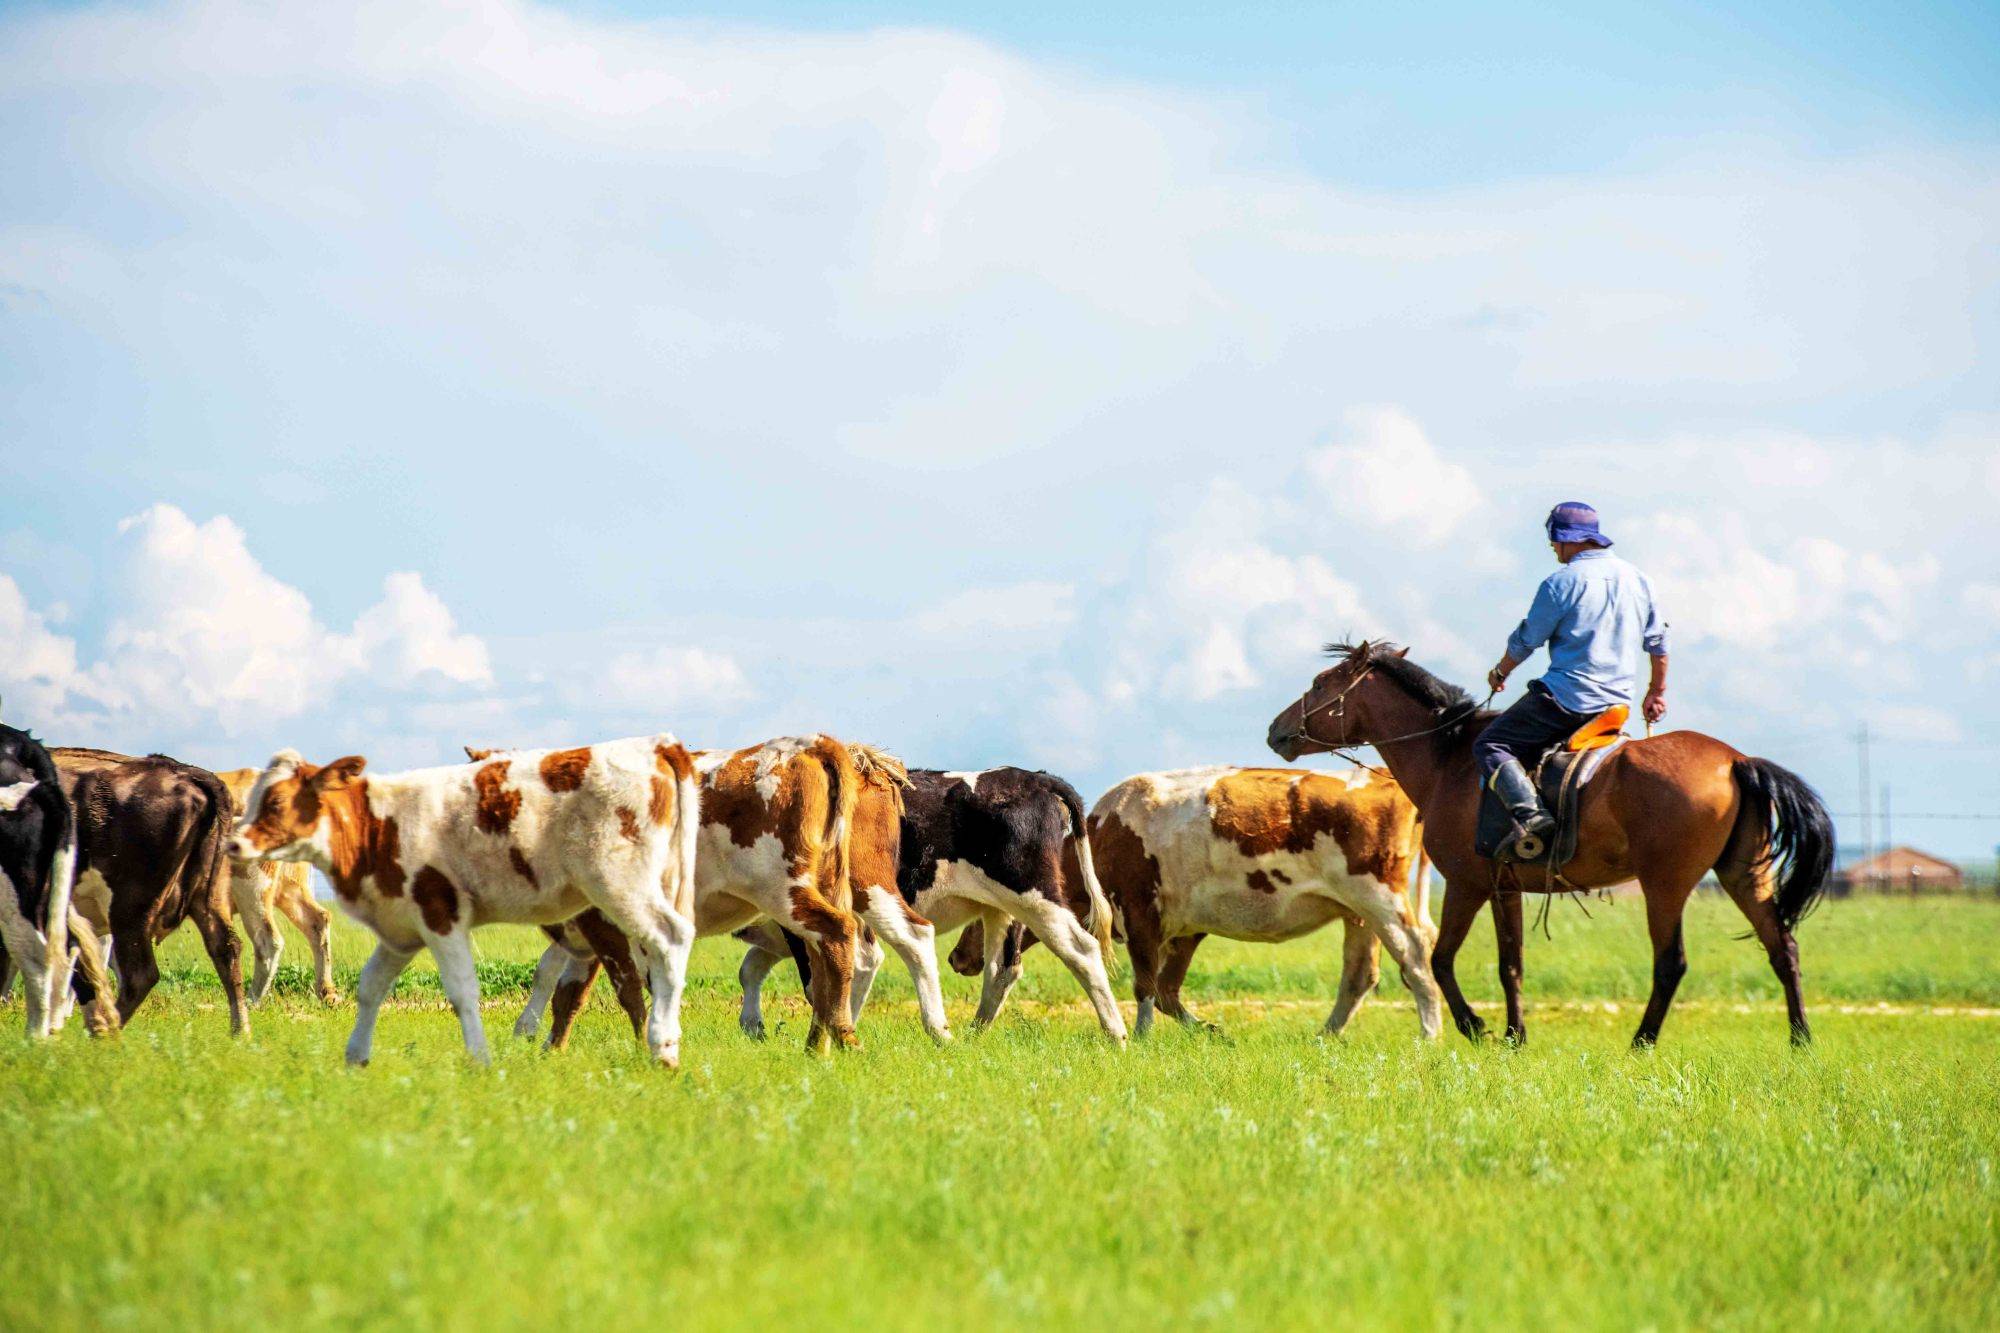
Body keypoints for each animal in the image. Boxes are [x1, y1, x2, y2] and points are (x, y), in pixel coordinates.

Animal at [216, 764, 340, 1000]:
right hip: (289, 888)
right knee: (317, 920)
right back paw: (327, 993)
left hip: (251, 891)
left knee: (267, 941)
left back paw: (251, 999)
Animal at [231, 732, 704, 1064]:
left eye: (275, 803)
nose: (233, 843)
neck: (380, 823)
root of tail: (658, 744)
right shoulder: (399, 930)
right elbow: (370, 987)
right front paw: (355, 1057)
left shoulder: (441, 914)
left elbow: (462, 992)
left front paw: (479, 1059)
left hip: (619, 889)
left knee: (670, 940)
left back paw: (662, 1046)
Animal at [508, 736, 916, 1048]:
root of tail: (816, 748)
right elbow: (566, 986)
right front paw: (545, 1047)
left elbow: (612, 989)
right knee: (830, 961)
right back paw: (819, 1045)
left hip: (792, 891)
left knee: (861, 939)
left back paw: (851, 1035)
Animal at [1080, 756, 1440, 1040]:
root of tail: (1381, 774)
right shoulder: (1186, 927)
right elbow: (1166, 990)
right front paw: (1210, 1031)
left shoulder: (1138, 910)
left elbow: (1145, 986)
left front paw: (1142, 1037)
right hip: (1359, 912)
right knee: (1360, 973)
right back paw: (1325, 1036)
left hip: (1379, 897)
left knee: (1415, 953)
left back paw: (1429, 1035)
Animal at [1272, 640, 1832, 1040]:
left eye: (1320, 683)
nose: (1276, 730)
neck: (1448, 758)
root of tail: (1735, 760)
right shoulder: (1505, 889)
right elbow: (1511, 965)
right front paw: (1514, 1036)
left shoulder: (1468, 885)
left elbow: (1440, 959)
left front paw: (1474, 1026)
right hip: (1743, 876)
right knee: (1782, 947)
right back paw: (1800, 1038)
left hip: (1665, 885)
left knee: (1671, 963)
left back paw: (1642, 1042)